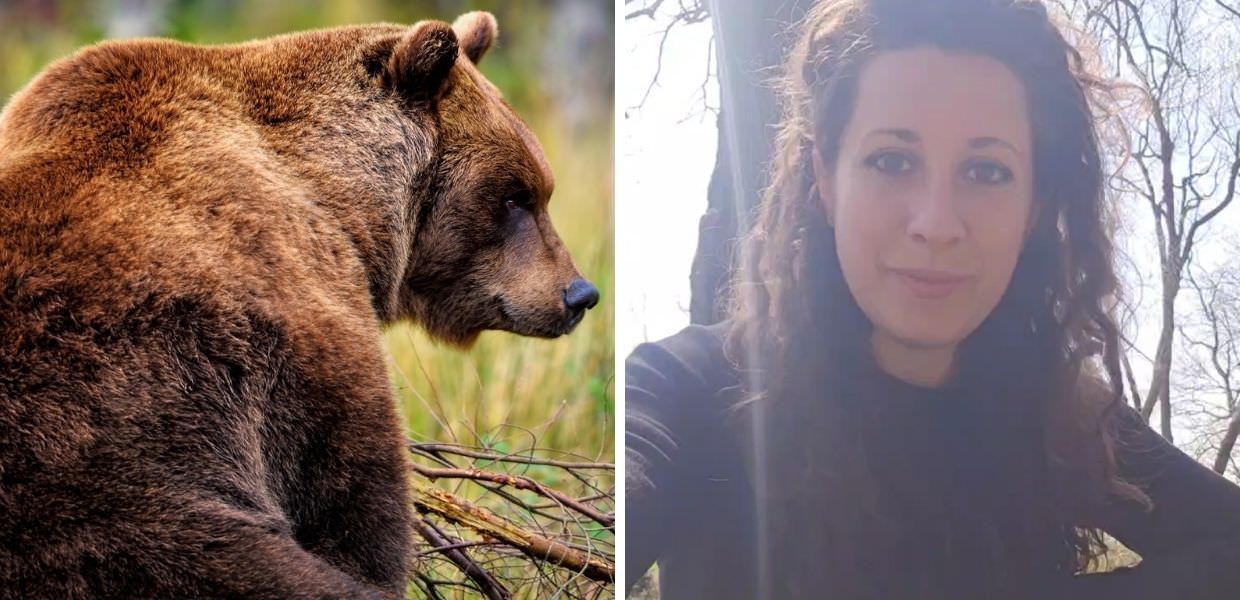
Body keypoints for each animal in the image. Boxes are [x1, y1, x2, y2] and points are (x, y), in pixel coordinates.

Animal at [0, 11, 598, 599]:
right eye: (516, 195)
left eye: (540, 188)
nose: (580, 293)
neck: (340, 198)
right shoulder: (289, 323)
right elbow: (351, 499)